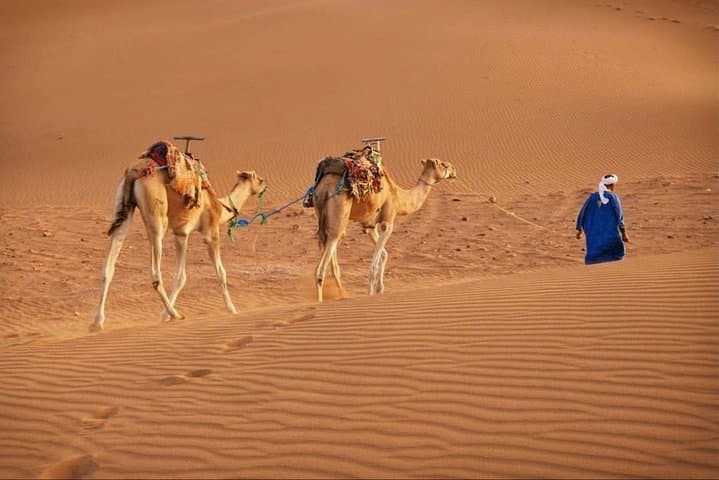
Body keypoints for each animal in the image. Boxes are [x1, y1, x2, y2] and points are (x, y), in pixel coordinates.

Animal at [91, 162, 266, 331]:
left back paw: (97, 323)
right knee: (155, 273)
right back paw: (176, 314)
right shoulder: (211, 233)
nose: (266, 186)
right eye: (260, 179)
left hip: (124, 207)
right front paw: (232, 310)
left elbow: (181, 277)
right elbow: (221, 272)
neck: (221, 207)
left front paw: (164, 316)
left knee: (108, 267)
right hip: (157, 216)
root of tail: (134, 172)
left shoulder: (181, 234)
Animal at [313, 157, 457, 301]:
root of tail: (325, 186)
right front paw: (370, 293)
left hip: (324, 214)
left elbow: (384, 254)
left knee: (332, 252)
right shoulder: (387, 223)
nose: (454, 170)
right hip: (339, 209)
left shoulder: (370, 225)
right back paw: (320, 301)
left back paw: (342, 294)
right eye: (443, 164)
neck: (399, 198)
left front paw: (380, 289)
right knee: (323, 264)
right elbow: (374, 267)